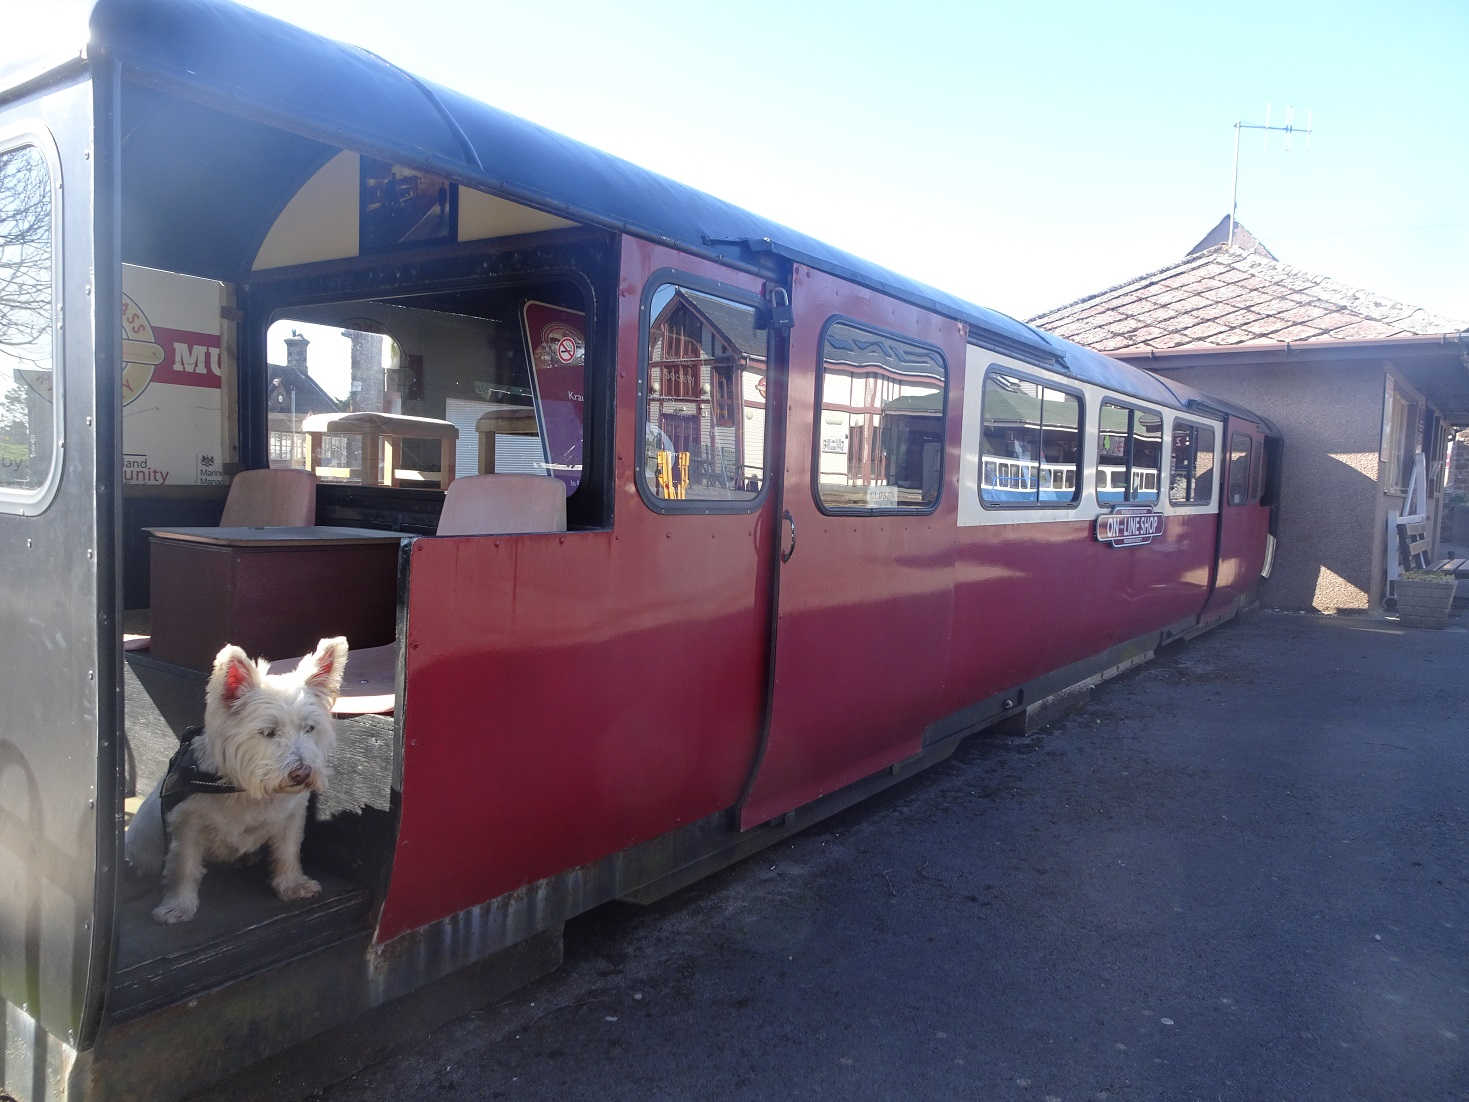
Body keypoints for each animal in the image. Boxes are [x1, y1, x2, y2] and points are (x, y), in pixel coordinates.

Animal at [123, 634, 346, 928]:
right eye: (268, 732)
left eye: (309, 728)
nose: (302, 773)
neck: (245, 789)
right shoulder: (187, 825)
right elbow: (184, 866)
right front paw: (178, 907)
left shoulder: (291, 816)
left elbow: (288, 851)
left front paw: (293, 885)